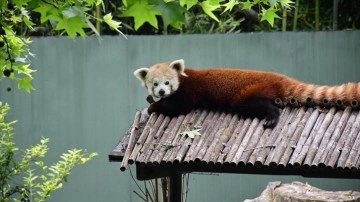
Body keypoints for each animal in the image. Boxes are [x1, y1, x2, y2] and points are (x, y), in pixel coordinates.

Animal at [134, 58, 360, 128]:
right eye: (154, 84)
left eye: (167, 82)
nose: (161, 91)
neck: (184, 76)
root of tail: (277, 77)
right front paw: (151, 99)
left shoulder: (188, 92)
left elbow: (178, 107)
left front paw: (154, 106)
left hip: (249, 93)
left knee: (259, 106)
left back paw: (271, 118)